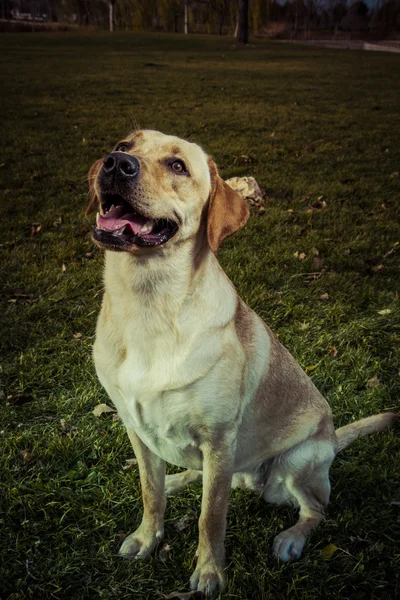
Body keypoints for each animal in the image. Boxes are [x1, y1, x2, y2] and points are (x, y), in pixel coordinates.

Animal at [85, 130, 396, 596]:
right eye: (125, 144)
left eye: (178, 166)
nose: (116, 163)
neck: (146, 301)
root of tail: (333, 439)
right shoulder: (135, 428)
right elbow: (150, 492)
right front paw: (147, 536)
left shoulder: (218, 438)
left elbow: (210, 517)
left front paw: (210, 573)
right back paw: (177, 479)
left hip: (294, 464)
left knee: (315, 509)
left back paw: (291, 538)